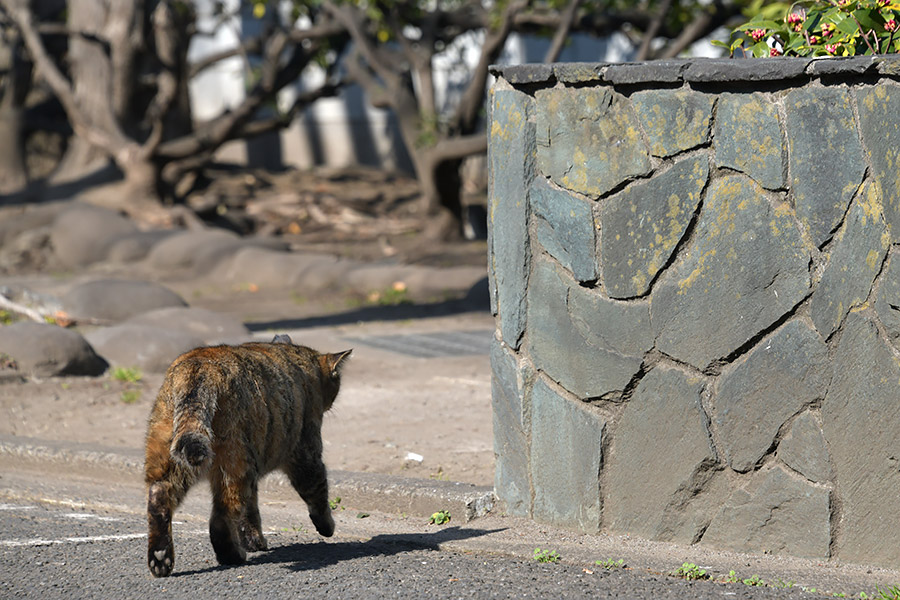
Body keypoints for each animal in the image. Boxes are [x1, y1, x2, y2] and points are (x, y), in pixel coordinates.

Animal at [142, 332, 350, 576]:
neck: (296, 357)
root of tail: (198, 367)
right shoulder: (306, 453)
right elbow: (317, 492)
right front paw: (327, 526)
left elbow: (250, 512)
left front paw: (253, 540)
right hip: (235, 463)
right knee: (220, 519)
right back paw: (232, 556)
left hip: (173, 458)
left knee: (159, 497)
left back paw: (160, 559)